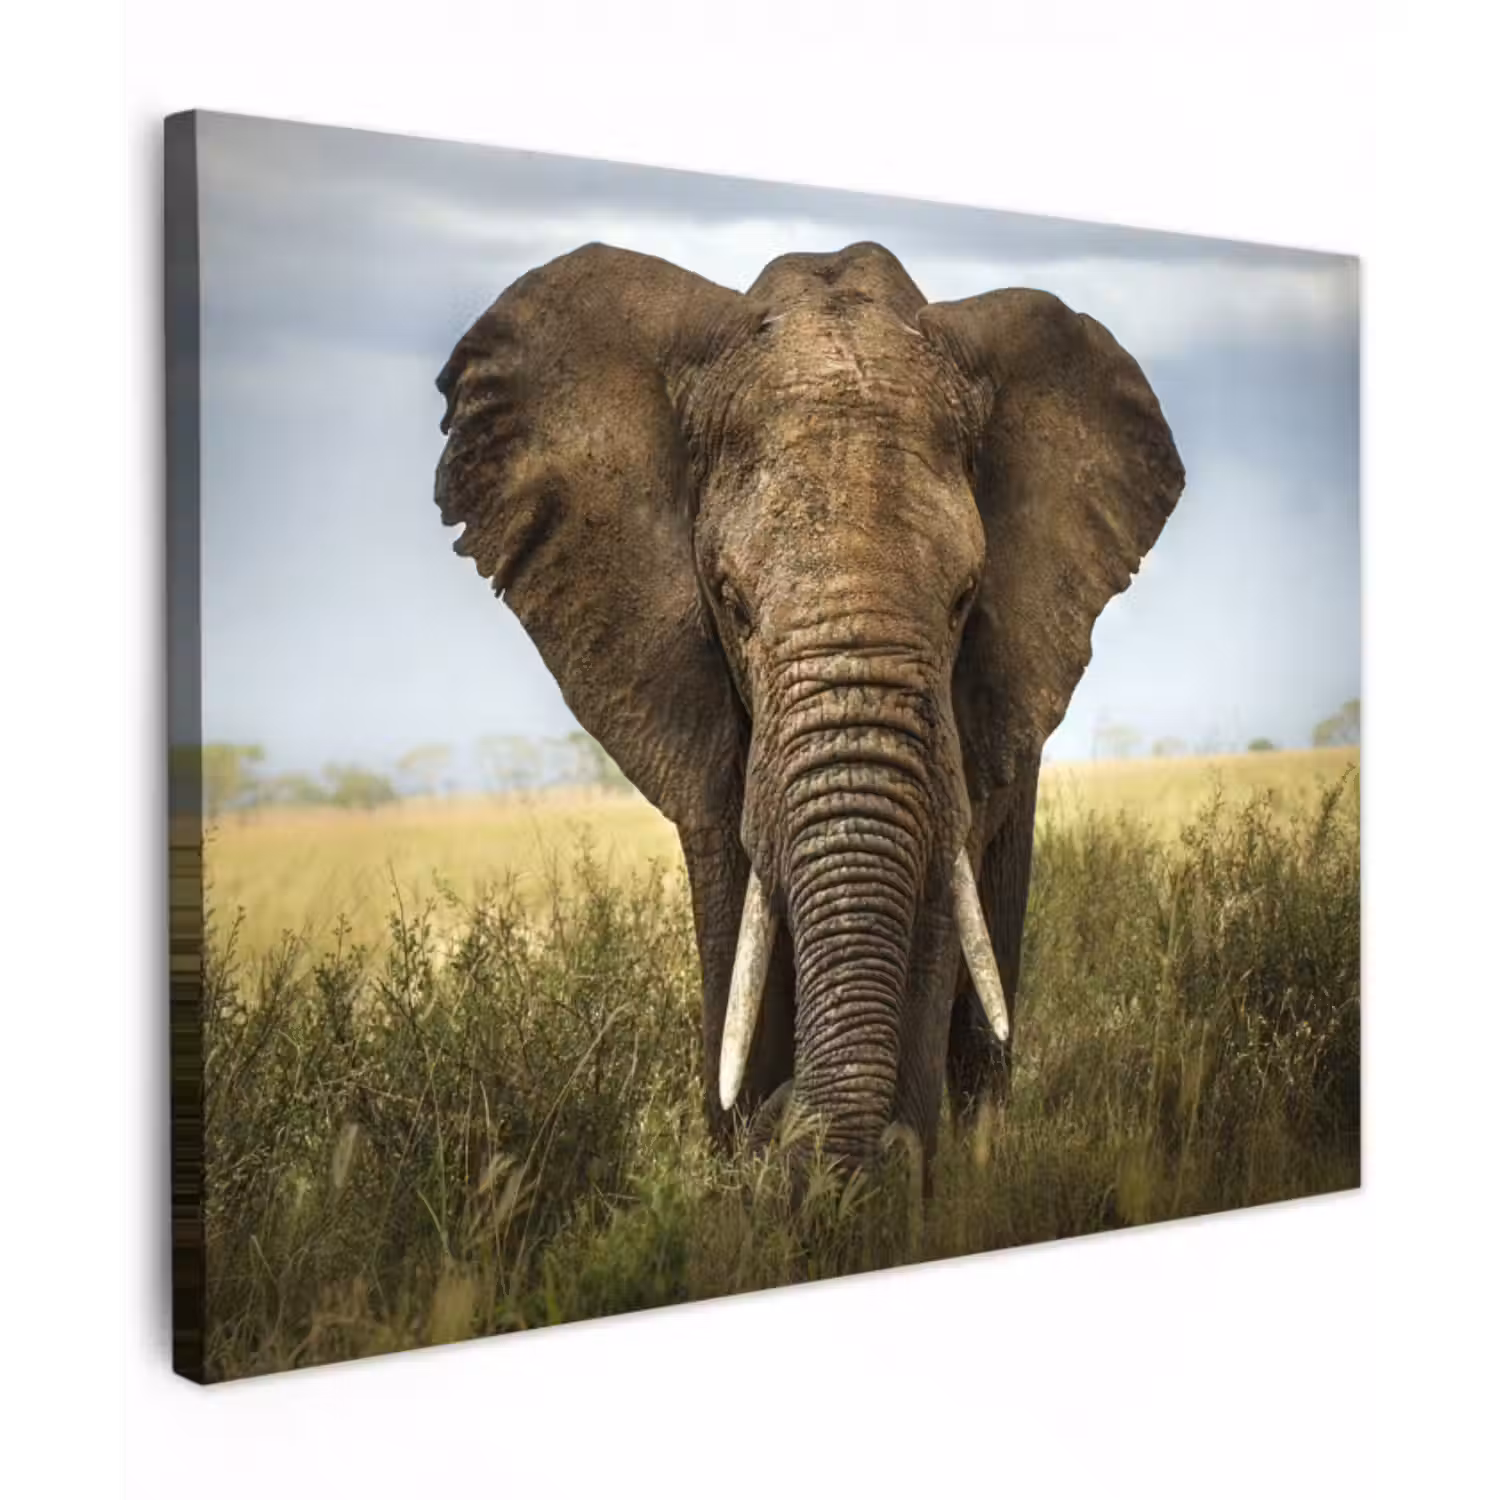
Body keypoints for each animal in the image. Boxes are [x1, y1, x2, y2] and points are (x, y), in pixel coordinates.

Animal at [432, 240, 1185, 1176]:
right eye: (731, 602)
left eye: (964, 600)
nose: (787, 1126)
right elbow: (733, 903)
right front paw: (747, 1156)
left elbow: (937, 904)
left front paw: (883, 1175)